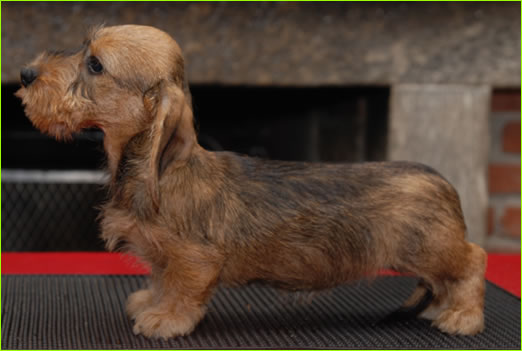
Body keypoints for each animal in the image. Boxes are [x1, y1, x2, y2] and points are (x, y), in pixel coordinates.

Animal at [17, 24, 488, 338]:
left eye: (95, 65)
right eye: (84, 48)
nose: (24, 74)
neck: (158, 169)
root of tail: (443, 182)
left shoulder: (196, 259)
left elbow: (182, 290)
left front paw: (166, 319)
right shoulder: (165, 257)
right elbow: (160, 278)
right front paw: (149, 302)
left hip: (431, 249)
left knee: (474, 261)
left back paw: (463, 315)